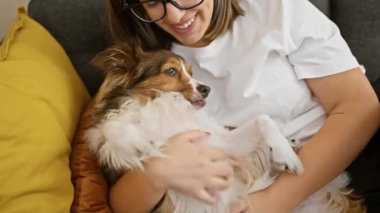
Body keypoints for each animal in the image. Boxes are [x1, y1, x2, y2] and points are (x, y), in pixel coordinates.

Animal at [84, 44, 366, 212]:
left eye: (190, 71)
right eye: (171, 72)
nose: (206, 89)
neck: (168, 107)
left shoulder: (219, 146)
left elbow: (263, 119)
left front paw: (285, 155)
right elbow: (111, 131)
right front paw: (139, 144)